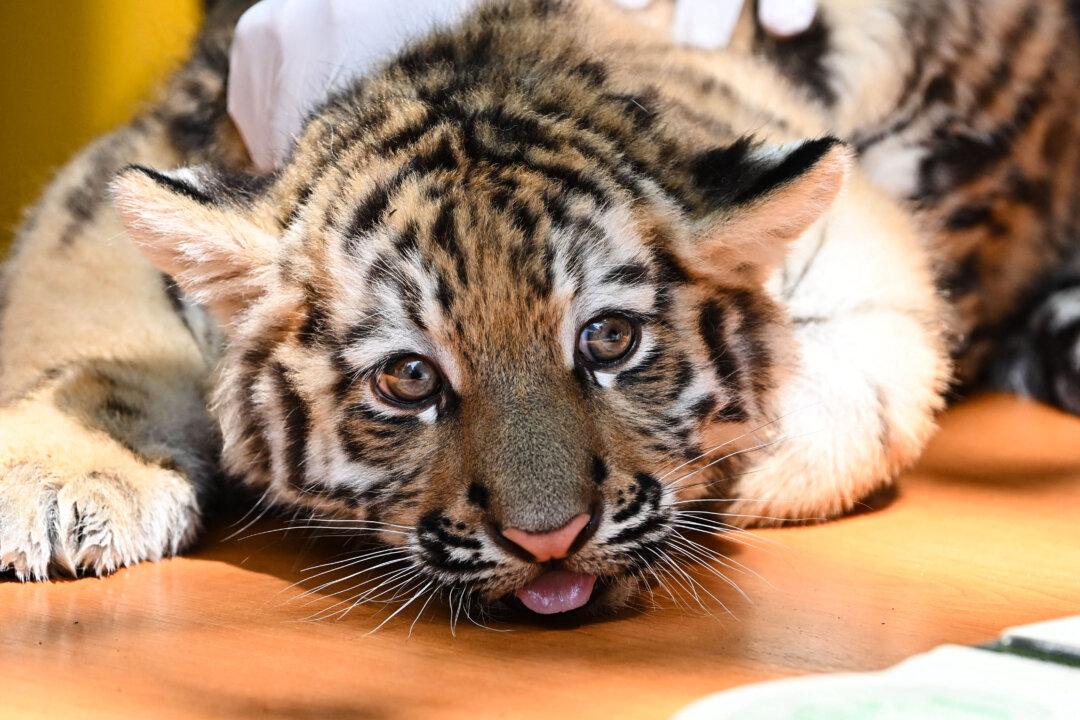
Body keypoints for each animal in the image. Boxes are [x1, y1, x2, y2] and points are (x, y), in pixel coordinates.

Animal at [0, 0, 1073, 617]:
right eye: (409, 378)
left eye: (609, 340)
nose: (550, 540)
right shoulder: (146, 148)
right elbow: (82, 331)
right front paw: (53, 485)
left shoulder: (872, 259)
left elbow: (845, 413)